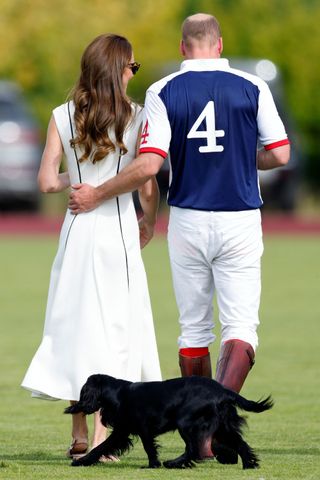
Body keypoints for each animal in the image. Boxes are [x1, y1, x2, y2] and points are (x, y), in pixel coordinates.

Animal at [64, 376, 272, 468]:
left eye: (83, 391)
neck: (119, 394)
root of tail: (222, 390)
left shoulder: (143, 428)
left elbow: (149, 447)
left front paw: (153, 464)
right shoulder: (122, 431)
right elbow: (101, 447)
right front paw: (84, 460)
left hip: (186, 423)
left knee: (193, 449)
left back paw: (173, 463)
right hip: (223, 427)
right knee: (241, 444)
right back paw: (249, 465)